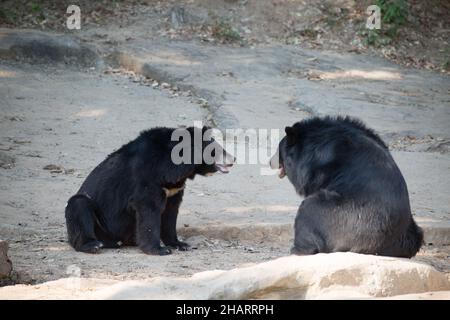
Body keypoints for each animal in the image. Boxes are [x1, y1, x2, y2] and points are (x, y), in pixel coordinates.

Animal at [67, 126, 237, 254]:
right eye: (216, 150)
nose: (233, 159)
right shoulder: (148, 177)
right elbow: (149, 210)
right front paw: (160, 249)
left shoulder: (174, 188)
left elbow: (170, 213)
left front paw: (180, 244)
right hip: (97, 221)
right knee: (79, 205)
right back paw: (93, 245)